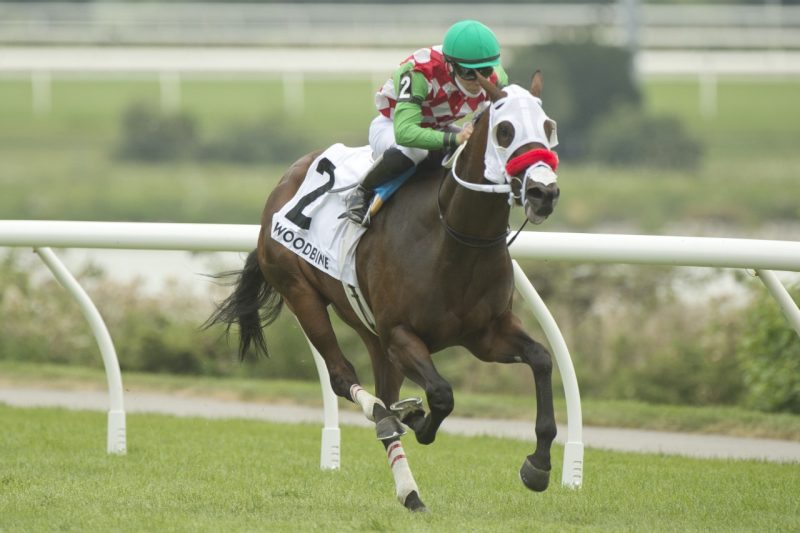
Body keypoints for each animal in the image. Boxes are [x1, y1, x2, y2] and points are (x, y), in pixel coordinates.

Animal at [209, 71, 560, 512]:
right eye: (505, 130)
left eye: (549, 127)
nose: (543, 193)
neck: (453, 239)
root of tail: (284, 182)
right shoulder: (400, 334)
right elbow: (442, 394)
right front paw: (418, 419)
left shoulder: (487, 334)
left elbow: (541, 359)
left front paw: (539, 465)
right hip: (301, 292)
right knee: (344, 378)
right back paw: (386, 419)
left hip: (369, 328)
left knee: (382, 390)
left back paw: (410, 490)